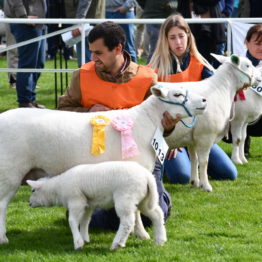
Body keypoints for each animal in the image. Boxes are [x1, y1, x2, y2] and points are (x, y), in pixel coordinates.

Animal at [26, 162, 166, 250]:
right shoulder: (87, 204)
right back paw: (160, 240)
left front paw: (78, 242)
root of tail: (148, 176)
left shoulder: (76, 201)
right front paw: (85, 238)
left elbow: (72, 221)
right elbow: (85, 221)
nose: (29, 203)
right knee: (157, 215)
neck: (58, 188)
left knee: (128, 221)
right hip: (144, 199)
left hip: (125, 196)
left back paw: (117, 244)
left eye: (33, 190)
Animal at [163, 53, 260, 192]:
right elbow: (204, 162)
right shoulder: (205, 136)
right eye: (247, 65)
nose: (258, 78)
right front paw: (206, 186)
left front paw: (195, 182)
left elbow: (194, 159)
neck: (221, 89)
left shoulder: (193, 138)